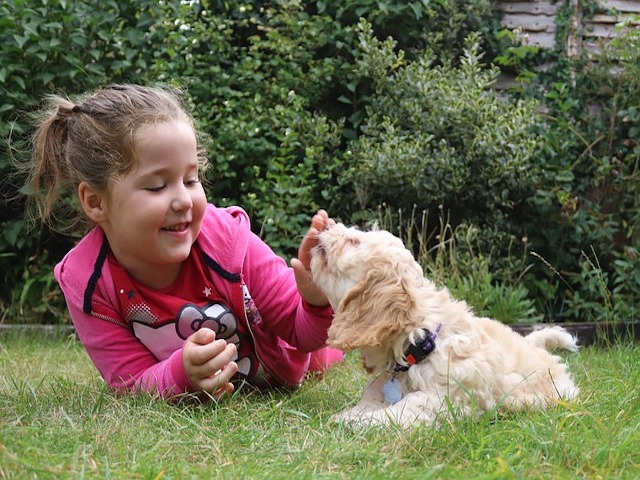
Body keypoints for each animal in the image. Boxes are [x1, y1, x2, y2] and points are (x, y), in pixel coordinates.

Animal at [312, 223, 580, 430]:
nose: (324, 226)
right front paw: (353, 414)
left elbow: (410, 406)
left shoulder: (448, 399)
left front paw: (361, 421)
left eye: (354, 241)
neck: (419, 340)